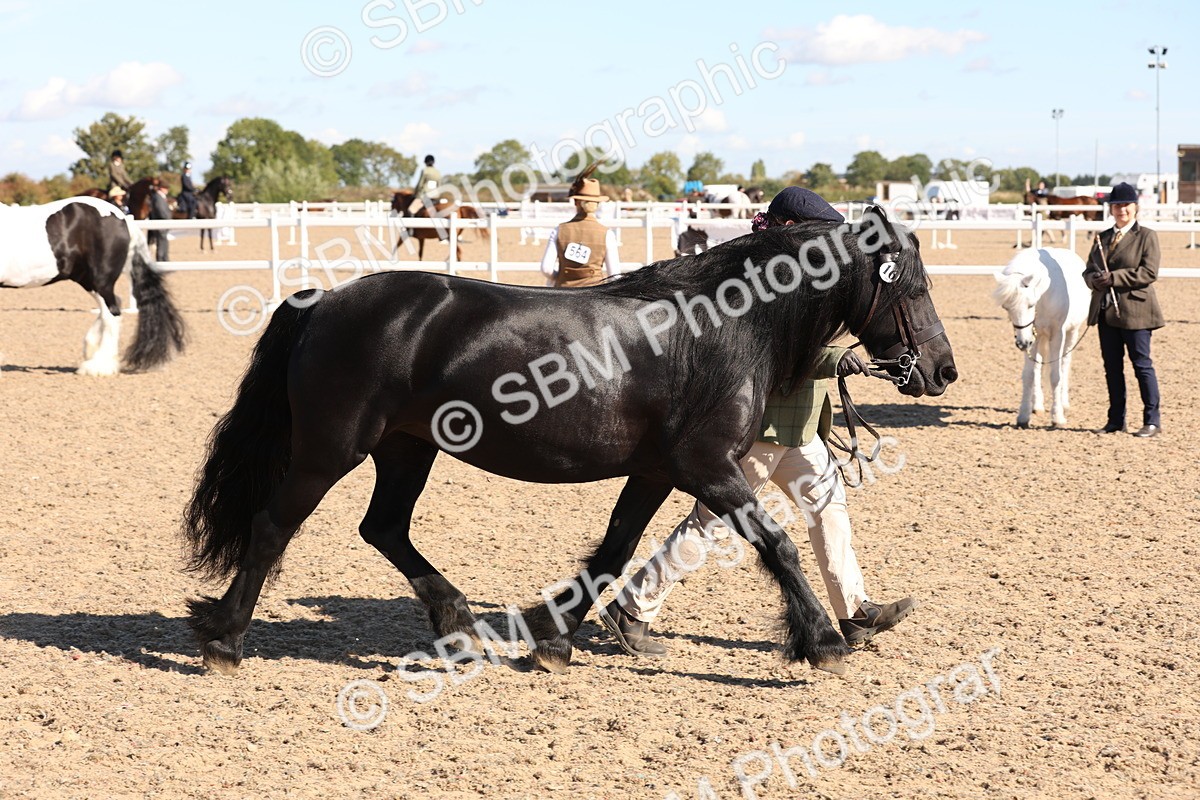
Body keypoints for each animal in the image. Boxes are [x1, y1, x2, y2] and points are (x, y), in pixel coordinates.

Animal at [0, 196, 186, 375]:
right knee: (111, 307)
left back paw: (99, 366)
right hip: (87, 279)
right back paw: (92, 350)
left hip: (100, 280)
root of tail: (123, 219)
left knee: (112, 314)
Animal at [182, 204, 957, 679]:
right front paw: (822, 641)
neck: (721, 326)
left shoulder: (658, 472)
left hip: (406, 449)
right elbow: (779, 543)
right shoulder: (708, 467)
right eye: (913, 288)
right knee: (272, 526)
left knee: (384, 528)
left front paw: (554, 639)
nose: (943, 370)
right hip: (328, 451)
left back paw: (459, 624)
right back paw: (224, 639)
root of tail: (323, 303)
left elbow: (615, 549)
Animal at [992, 247, 1090, 428]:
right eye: (1006, 307)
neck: (1044, 294)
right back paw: (1036, 405)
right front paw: (1023, 416)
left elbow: (1056, 376)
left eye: (1030, 304)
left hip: (1071, 333)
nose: (1022, 343)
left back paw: (1064, 402)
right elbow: (1029, 375)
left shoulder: (1057, 334)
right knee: (1038, 368)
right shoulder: (1032, 336)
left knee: (1065, 364)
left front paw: (1057, 417)